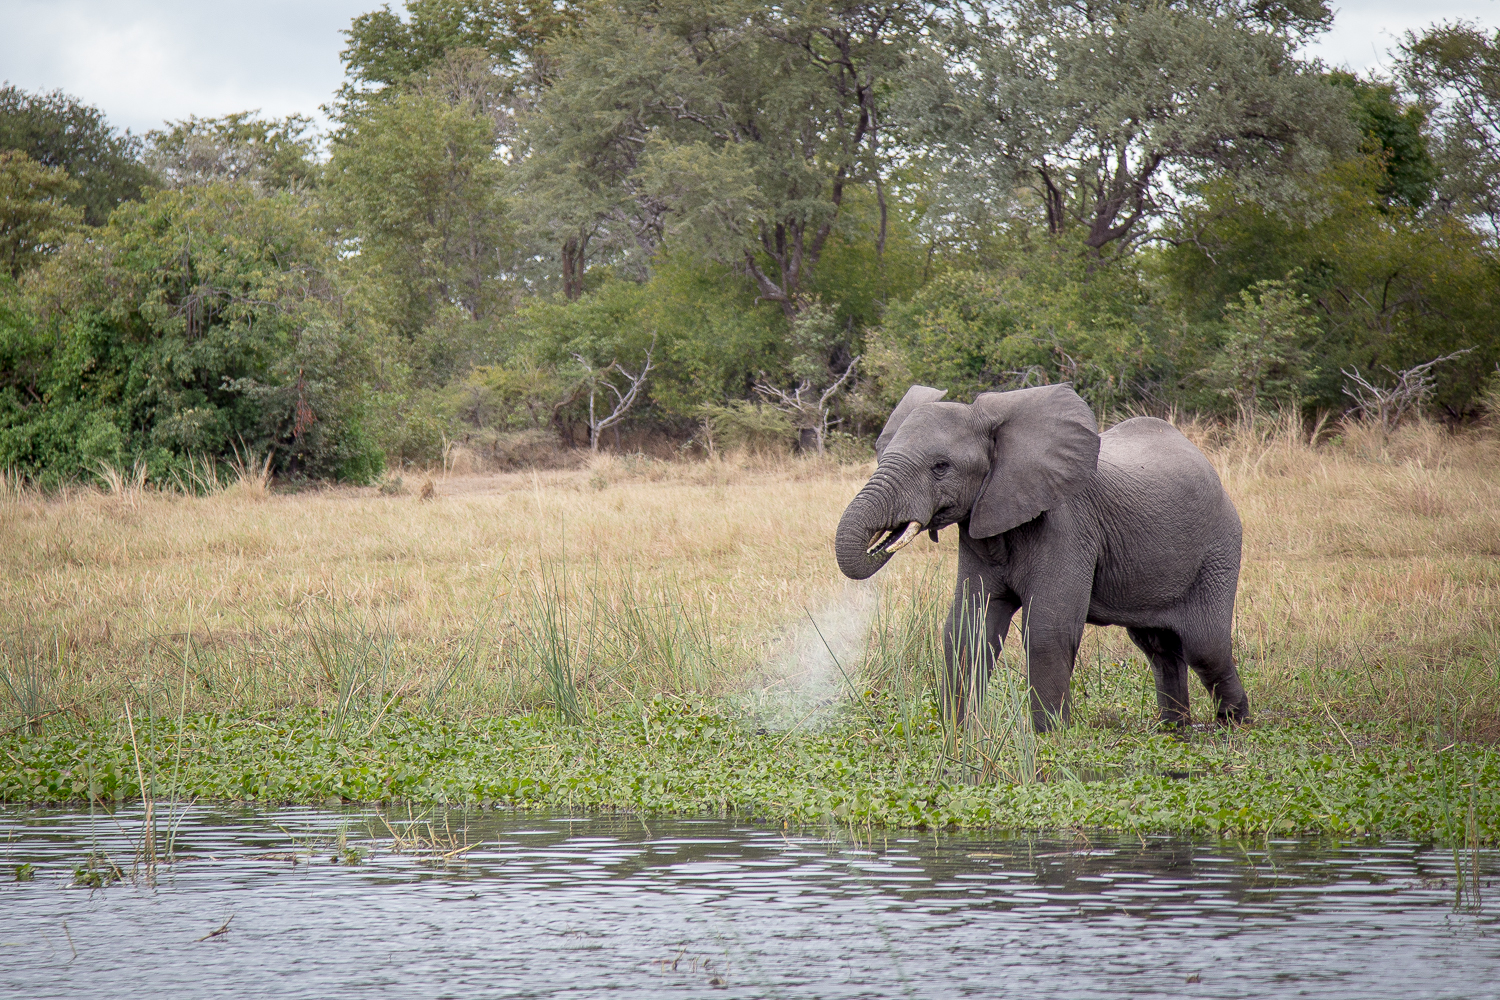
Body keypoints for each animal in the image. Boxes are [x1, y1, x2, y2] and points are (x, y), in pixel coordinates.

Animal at [840, 379, 1248, 731]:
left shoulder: (1067, 527)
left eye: (941, 467)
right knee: (1159, 648)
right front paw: (959, 735)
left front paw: (1050, 738)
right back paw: (1173, 731)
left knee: (1205, 646)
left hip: (1219, 548)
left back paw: (1234, 725)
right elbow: (967, 629)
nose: (882, 541)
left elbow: (1047, 631)